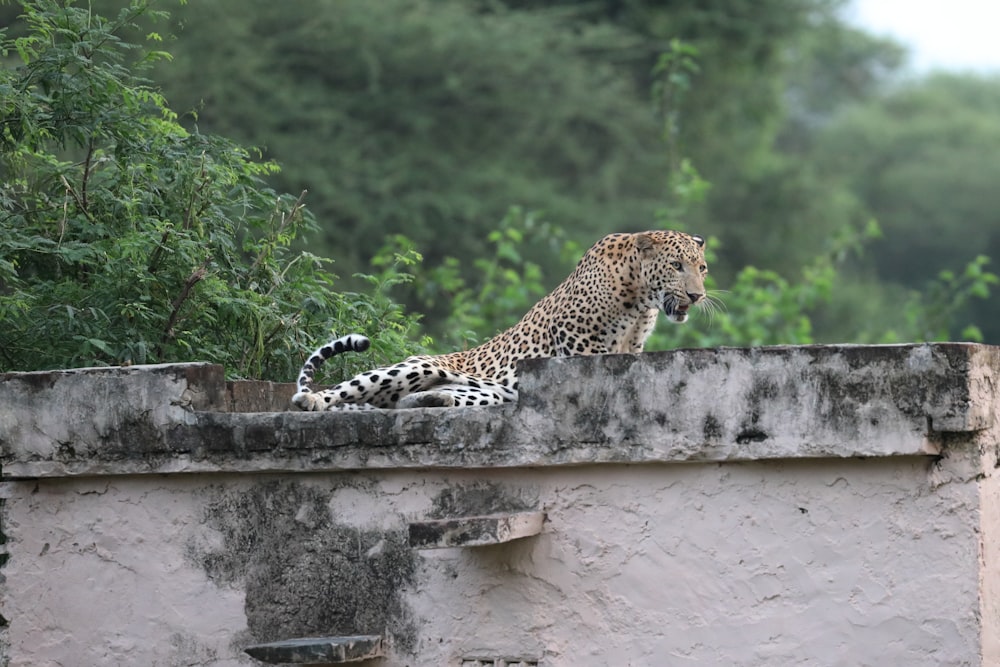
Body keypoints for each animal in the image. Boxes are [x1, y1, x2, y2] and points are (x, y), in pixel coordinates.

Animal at [292, 234, 712, 412]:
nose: (697, 295)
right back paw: (313, 399)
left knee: (419, 399)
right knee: (340, 392)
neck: (639, 301)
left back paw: (433, 399)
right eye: (677, 266)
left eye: (702, 268)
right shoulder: (579, 345)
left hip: (488, 389)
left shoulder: (632, 348)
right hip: (416, 366)